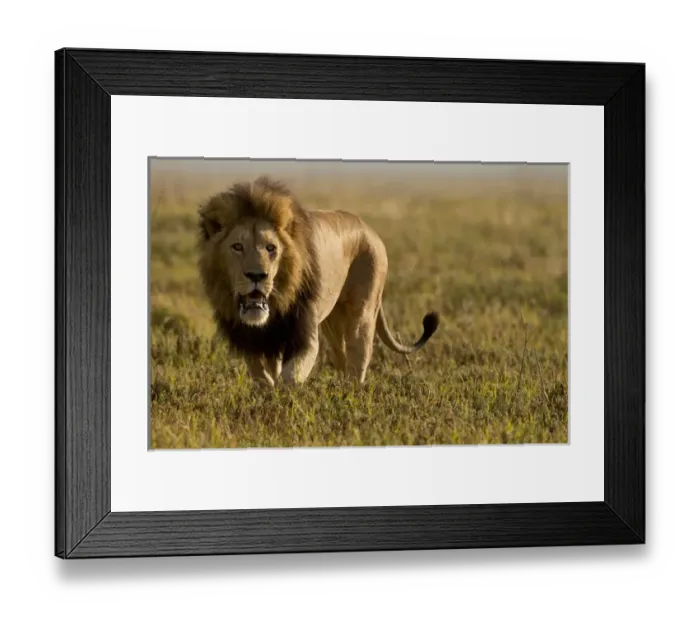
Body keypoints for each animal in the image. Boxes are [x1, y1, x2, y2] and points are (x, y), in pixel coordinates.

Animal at [197, 176, 440, 386]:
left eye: (271, 248)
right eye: (237, 247)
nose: (257, 275)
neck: (277, 304)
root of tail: (369, 228)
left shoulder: (304, 336)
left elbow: (290, 376)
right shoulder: (254, 339)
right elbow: (261, 374)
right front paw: (268, 393)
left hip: (361, 313)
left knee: (358, 360)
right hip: (333, 324)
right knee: (343, 360)